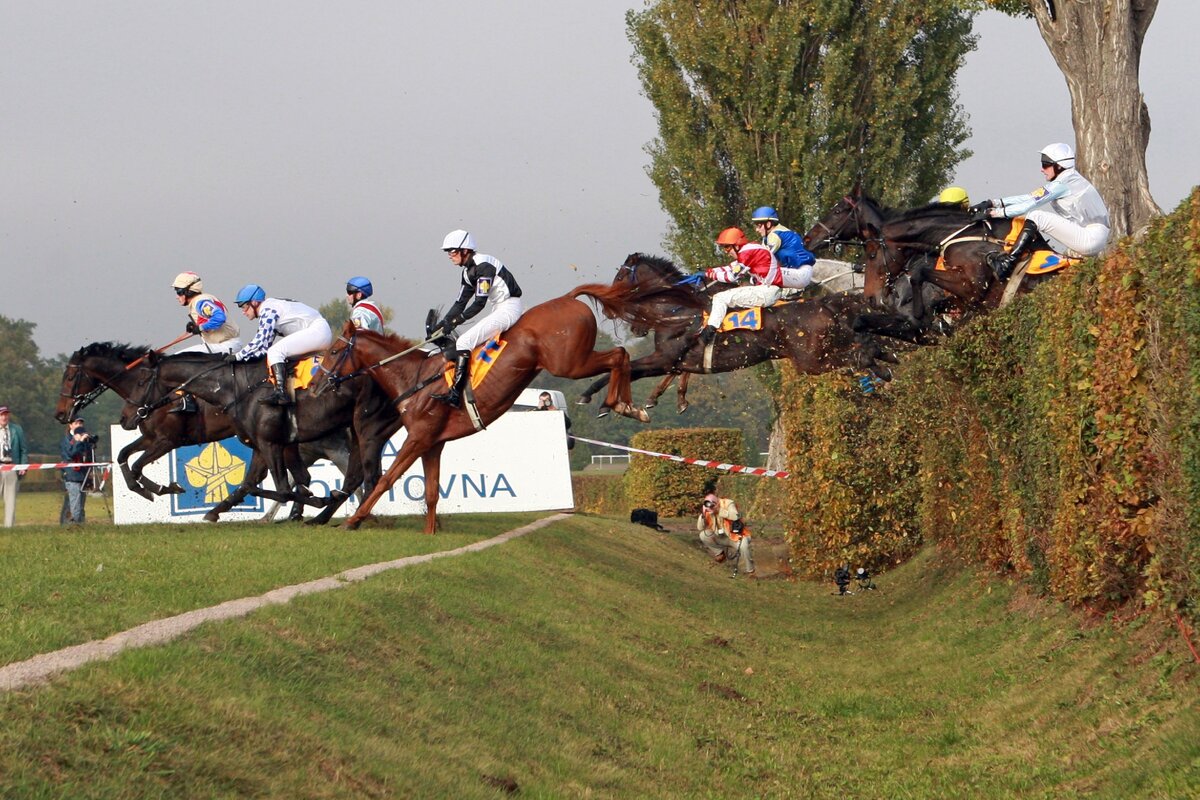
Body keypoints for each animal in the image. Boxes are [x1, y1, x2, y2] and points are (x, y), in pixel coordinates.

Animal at [56, 345, 362, 525]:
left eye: (69, 378)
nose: (60, 415)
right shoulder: (151, 437)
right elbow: (123, 456)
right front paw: (149, 489)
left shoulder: (167, 440)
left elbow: (138, 464)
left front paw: (161, 488)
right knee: (301, 478)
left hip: (317, 443)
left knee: (329, 475)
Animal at [309, 291, 648, 534]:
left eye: (334, 352)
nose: (313, 385)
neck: (413, 378)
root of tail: (568, 298)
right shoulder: (432, 444)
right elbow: (431, 492)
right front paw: (430, 533)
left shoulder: (417, 439)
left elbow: (385, 479)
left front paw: (353, 520)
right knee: (620, 355)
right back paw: (627, 406)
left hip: (569, 362)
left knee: (618, 355)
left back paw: (621, 404)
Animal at [573, 251, 902, 412]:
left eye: (619, 277)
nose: (629, 323)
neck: (679, 312)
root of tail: (824, 305)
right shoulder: (673, 362)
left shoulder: (664, 359)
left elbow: (625, 368)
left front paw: (591, 397)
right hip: (825, 348)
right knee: (865, 349)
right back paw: (883, 363)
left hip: (810, 359)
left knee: (856, 357)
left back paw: (879, 367)